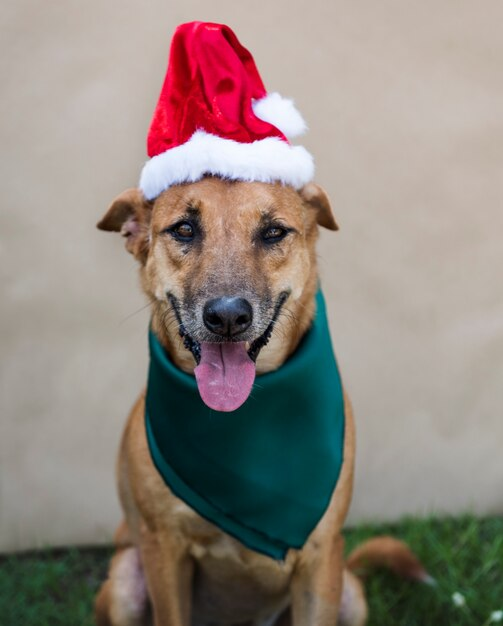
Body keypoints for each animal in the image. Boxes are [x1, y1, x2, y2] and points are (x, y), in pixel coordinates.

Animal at [93, 176, 426, 624]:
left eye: (273, 232)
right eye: (184, 229)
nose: (227, 316)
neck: (244, 416)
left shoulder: (321, 556)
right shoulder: (163, 549)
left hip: (350, 595)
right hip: (127, 580)